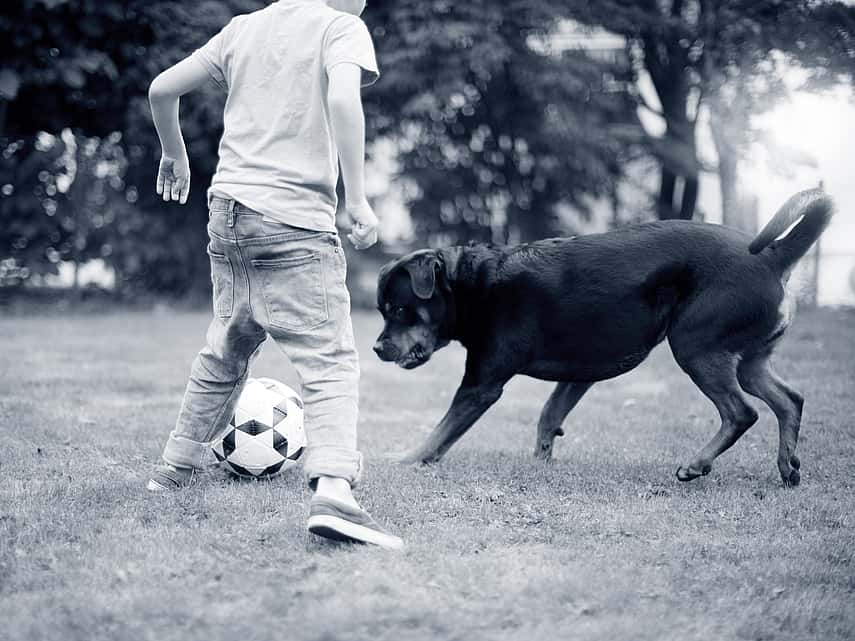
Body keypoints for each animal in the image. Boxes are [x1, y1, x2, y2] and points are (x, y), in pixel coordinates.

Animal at [376, 189, 836, 484]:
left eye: (398, 309)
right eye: (382, 311)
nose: (378, 347)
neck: (472, 285)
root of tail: (774, 256)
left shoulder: (480, 385)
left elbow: (440, 432)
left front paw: (405, 460)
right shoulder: (579, 373)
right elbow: (549, 415)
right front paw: (541, 463)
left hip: (696, 346)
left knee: (741, 413)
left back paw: (696, 465)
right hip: (749, 360)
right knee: (789, 401)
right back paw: (787, 467)